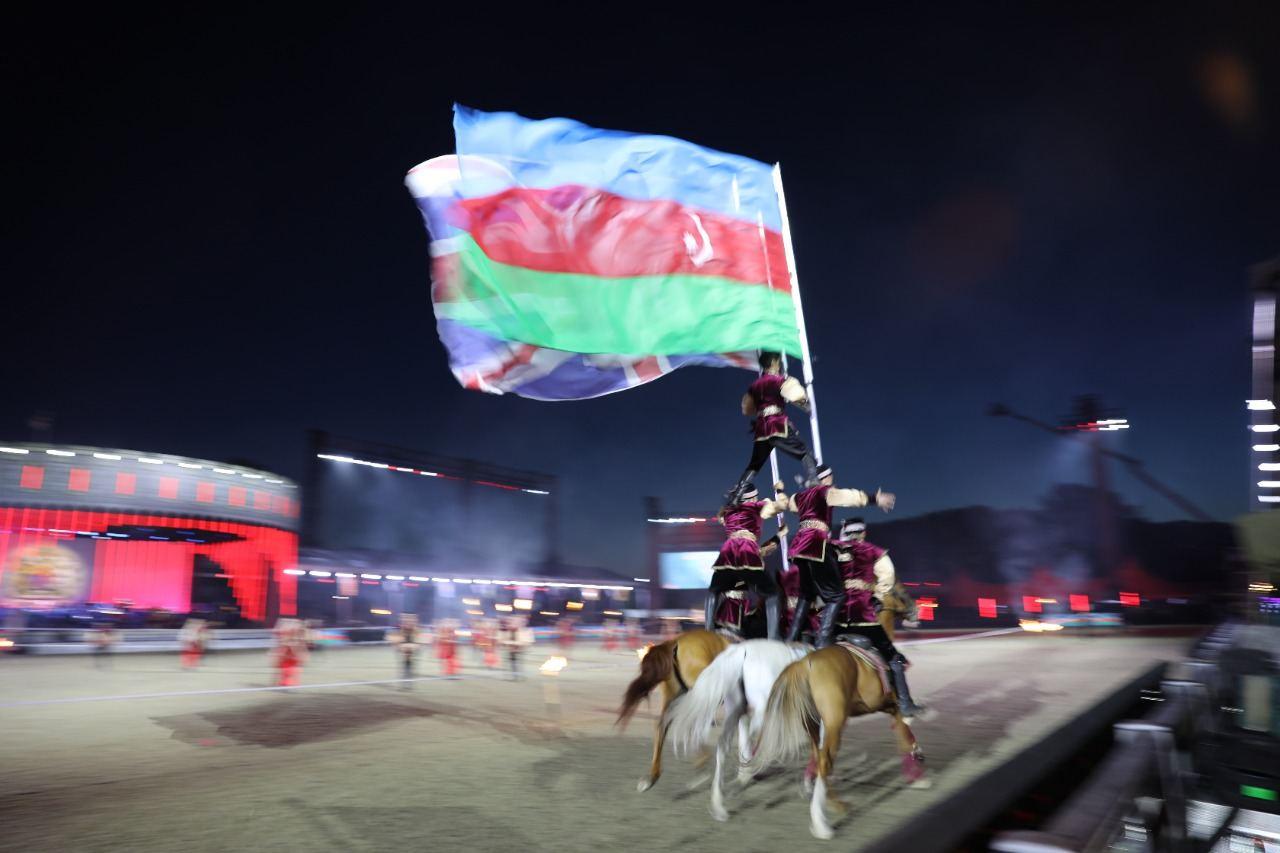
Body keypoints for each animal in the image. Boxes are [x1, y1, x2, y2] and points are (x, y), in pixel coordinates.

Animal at [616, 625, 732, 788]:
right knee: (690, 722)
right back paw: (702, 767)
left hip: (675, 697)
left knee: (663, 726)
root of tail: (673, 643)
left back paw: (653, 776)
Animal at [660, 637, 808, 819]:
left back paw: (719, 803)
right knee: (751, 742)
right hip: (760, 711)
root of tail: (741, 651)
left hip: (737, 710)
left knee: (725, 745)